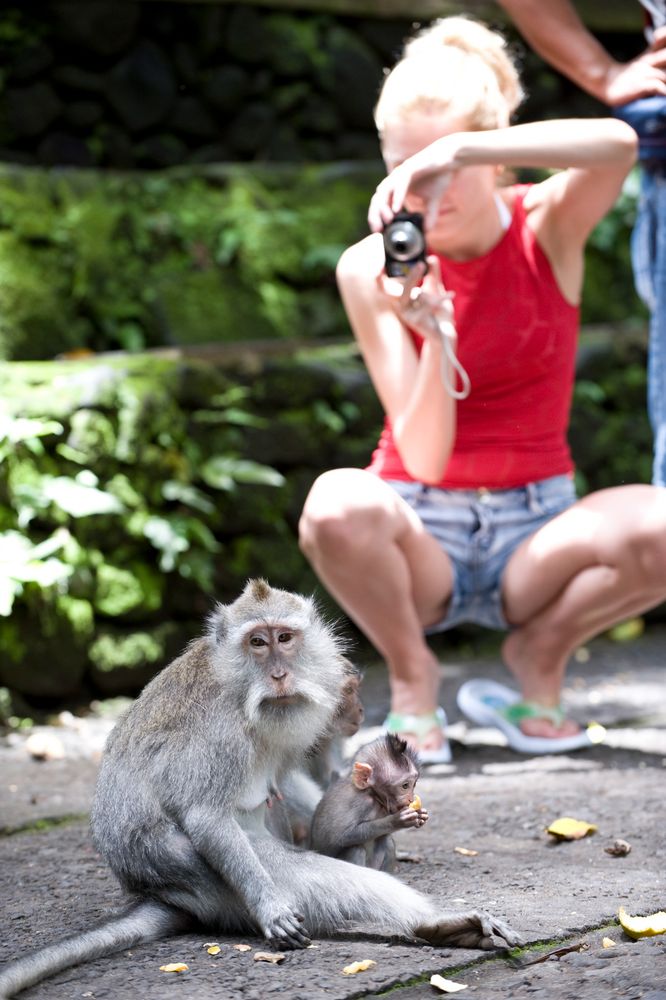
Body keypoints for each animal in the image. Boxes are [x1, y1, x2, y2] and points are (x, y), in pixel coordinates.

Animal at [310, 732, 426, 872]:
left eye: (414, 784)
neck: (372, 794)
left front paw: (421, 815)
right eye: (405, 786)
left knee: (387, 841)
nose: (411, 799)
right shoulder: (360, 802)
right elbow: (340, 836)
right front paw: (397, 820)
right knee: (356, 849)